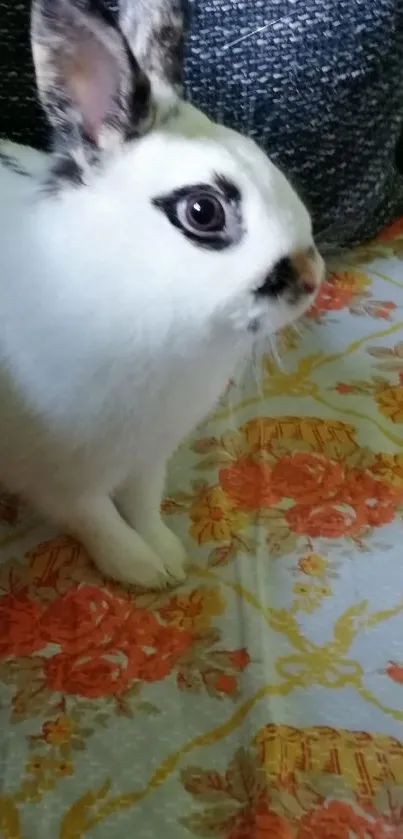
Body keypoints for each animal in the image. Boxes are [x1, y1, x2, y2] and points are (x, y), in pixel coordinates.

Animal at [0, 0, 324, 592]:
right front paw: (143, 570)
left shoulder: (150, 457)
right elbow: (97, 518)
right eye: (203, 211)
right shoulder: (60, 475)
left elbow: (144, 503)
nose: (313, 278)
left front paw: (169, 555)